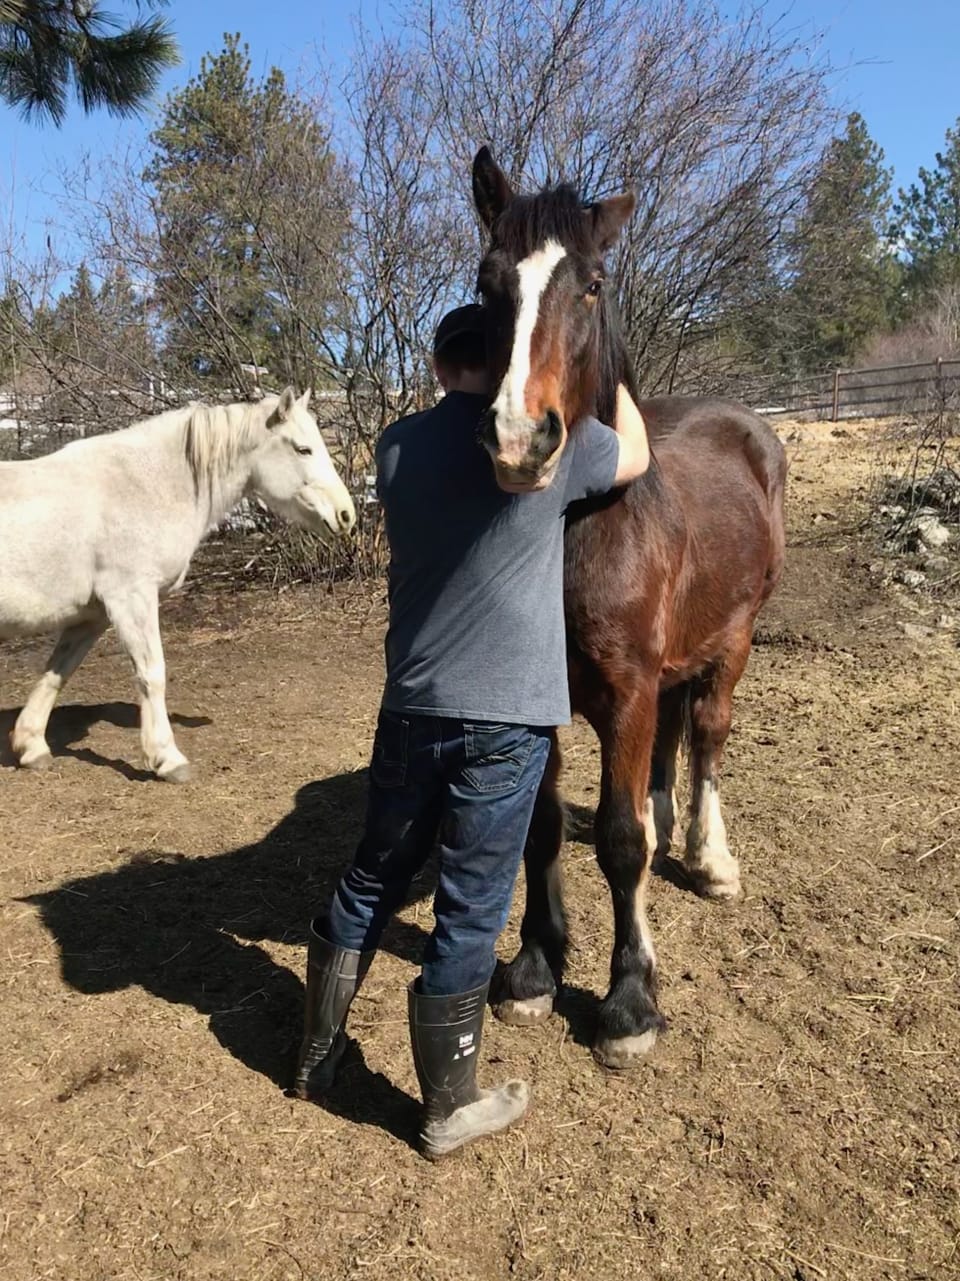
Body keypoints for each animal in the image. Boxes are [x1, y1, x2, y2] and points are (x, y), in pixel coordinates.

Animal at [0, 384, 356, 778]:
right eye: (303, 449)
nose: (346, 514)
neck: (143, 484)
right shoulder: (132, 597)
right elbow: (151, 673)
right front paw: (167, 758)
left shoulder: (92, 616)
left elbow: (58, 671)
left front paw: (31, 747)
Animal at [469, 149, 784, 1070]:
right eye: (488, 281)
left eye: (593, 285)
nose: (519, 439)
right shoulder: (537, 701)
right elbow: (541, 827)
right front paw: (535, 967)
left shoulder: (629, 692)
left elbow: (618, 839)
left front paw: (630, 1000)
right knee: (672, 746)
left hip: (735, 638)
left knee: (707, 732)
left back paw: (710, 858)